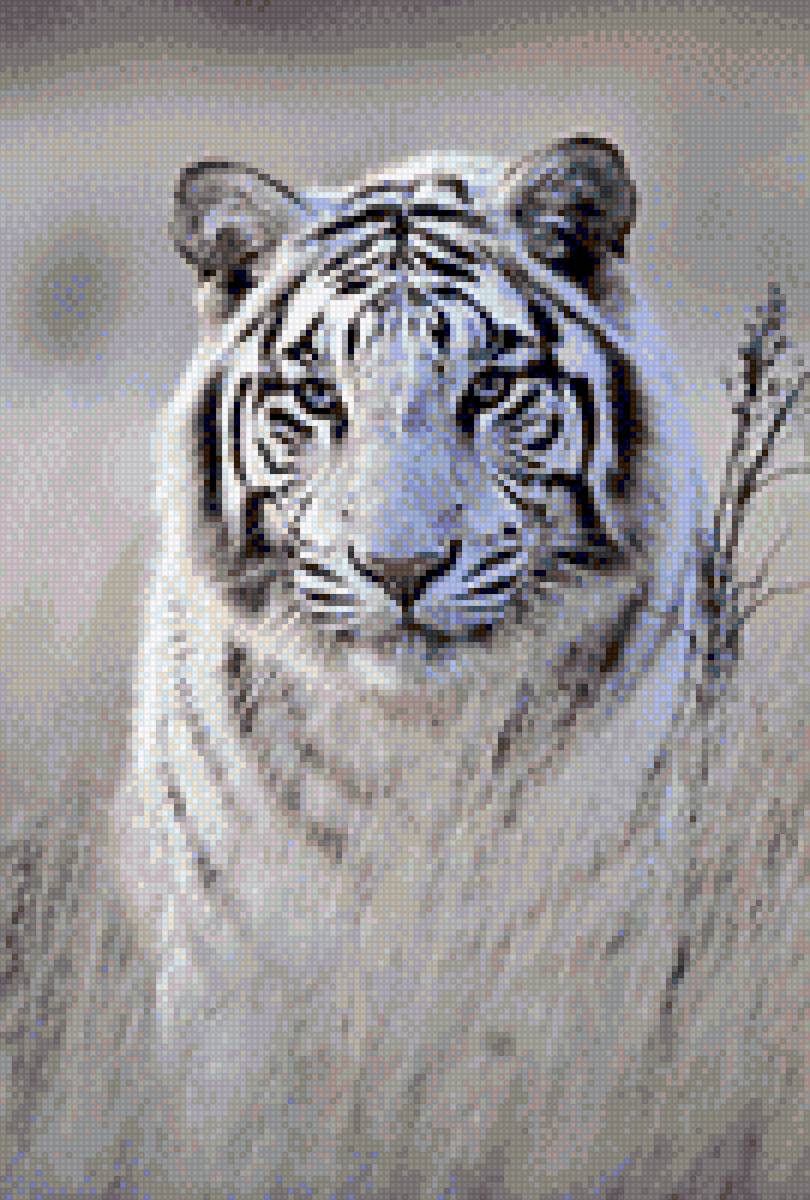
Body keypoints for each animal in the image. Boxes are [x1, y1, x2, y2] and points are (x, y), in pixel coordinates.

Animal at [3, 136, 809, 1200]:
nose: (400, 568)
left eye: (489, 389)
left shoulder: (589, 971)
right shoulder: (240, 997)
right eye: (317, 398)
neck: (418, 746)